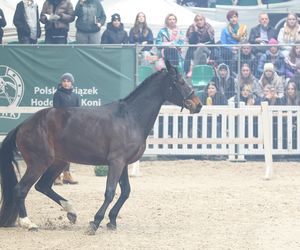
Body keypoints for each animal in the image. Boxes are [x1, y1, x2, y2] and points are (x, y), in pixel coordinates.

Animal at [0, 60, 202, 234]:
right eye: (179, 82)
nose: (198, 105)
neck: (130, 117)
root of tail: (23, 125)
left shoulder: (124, 163)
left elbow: (126, 191)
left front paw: (111, 220)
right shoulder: (116, 162)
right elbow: (110, 192)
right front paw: (95, 222)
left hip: (57, 162)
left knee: (42, 186)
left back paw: (71, 212)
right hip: (39, 162)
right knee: (21, 189)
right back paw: (28, 223)